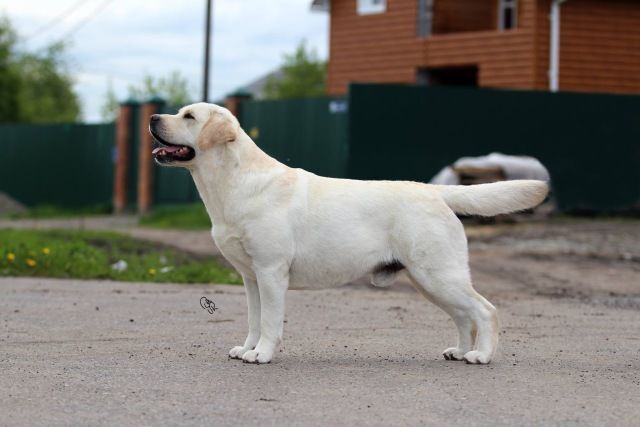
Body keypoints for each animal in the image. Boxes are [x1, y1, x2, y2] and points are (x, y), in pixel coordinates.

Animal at [149, 103, 544, 364]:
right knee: (463, 316)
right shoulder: (251, 277)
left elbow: (270, 321)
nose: (152, 118)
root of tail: (436, 192)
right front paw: (247, 348)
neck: (233, 182)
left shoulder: (271, 271)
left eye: (189, 117)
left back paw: (481, 355)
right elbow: (254, 319)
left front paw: (261, 354)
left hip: (440, 274)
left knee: (486, 310)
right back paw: (460, 351)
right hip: (429, 280)